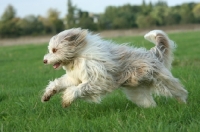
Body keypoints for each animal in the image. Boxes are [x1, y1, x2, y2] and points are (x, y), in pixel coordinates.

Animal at [41, 28, 188, 108]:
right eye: (50, 49)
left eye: (55, 50)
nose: (44, 60)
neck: (78, 57)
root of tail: (152, 54)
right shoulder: (75, 77)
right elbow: (61, 83)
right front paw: (48, 94)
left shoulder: (100, 80)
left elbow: (80, 88)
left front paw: (67, 98)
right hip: (137, 90)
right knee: (147, 100)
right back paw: (151, 108)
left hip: (161, 80)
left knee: (178, 91)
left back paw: (183, 104)